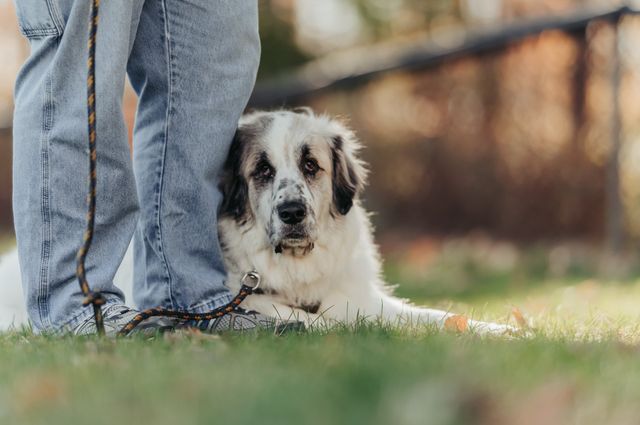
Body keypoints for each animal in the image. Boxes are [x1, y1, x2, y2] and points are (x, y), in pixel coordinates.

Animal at [0, 107, 512, 332]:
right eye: (262, 171)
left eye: (311, 165)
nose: (292, 212)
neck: (298, 271)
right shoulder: (249, 299)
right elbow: (315, 319)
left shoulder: (362, 296)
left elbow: (441, 317)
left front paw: (503, 331)